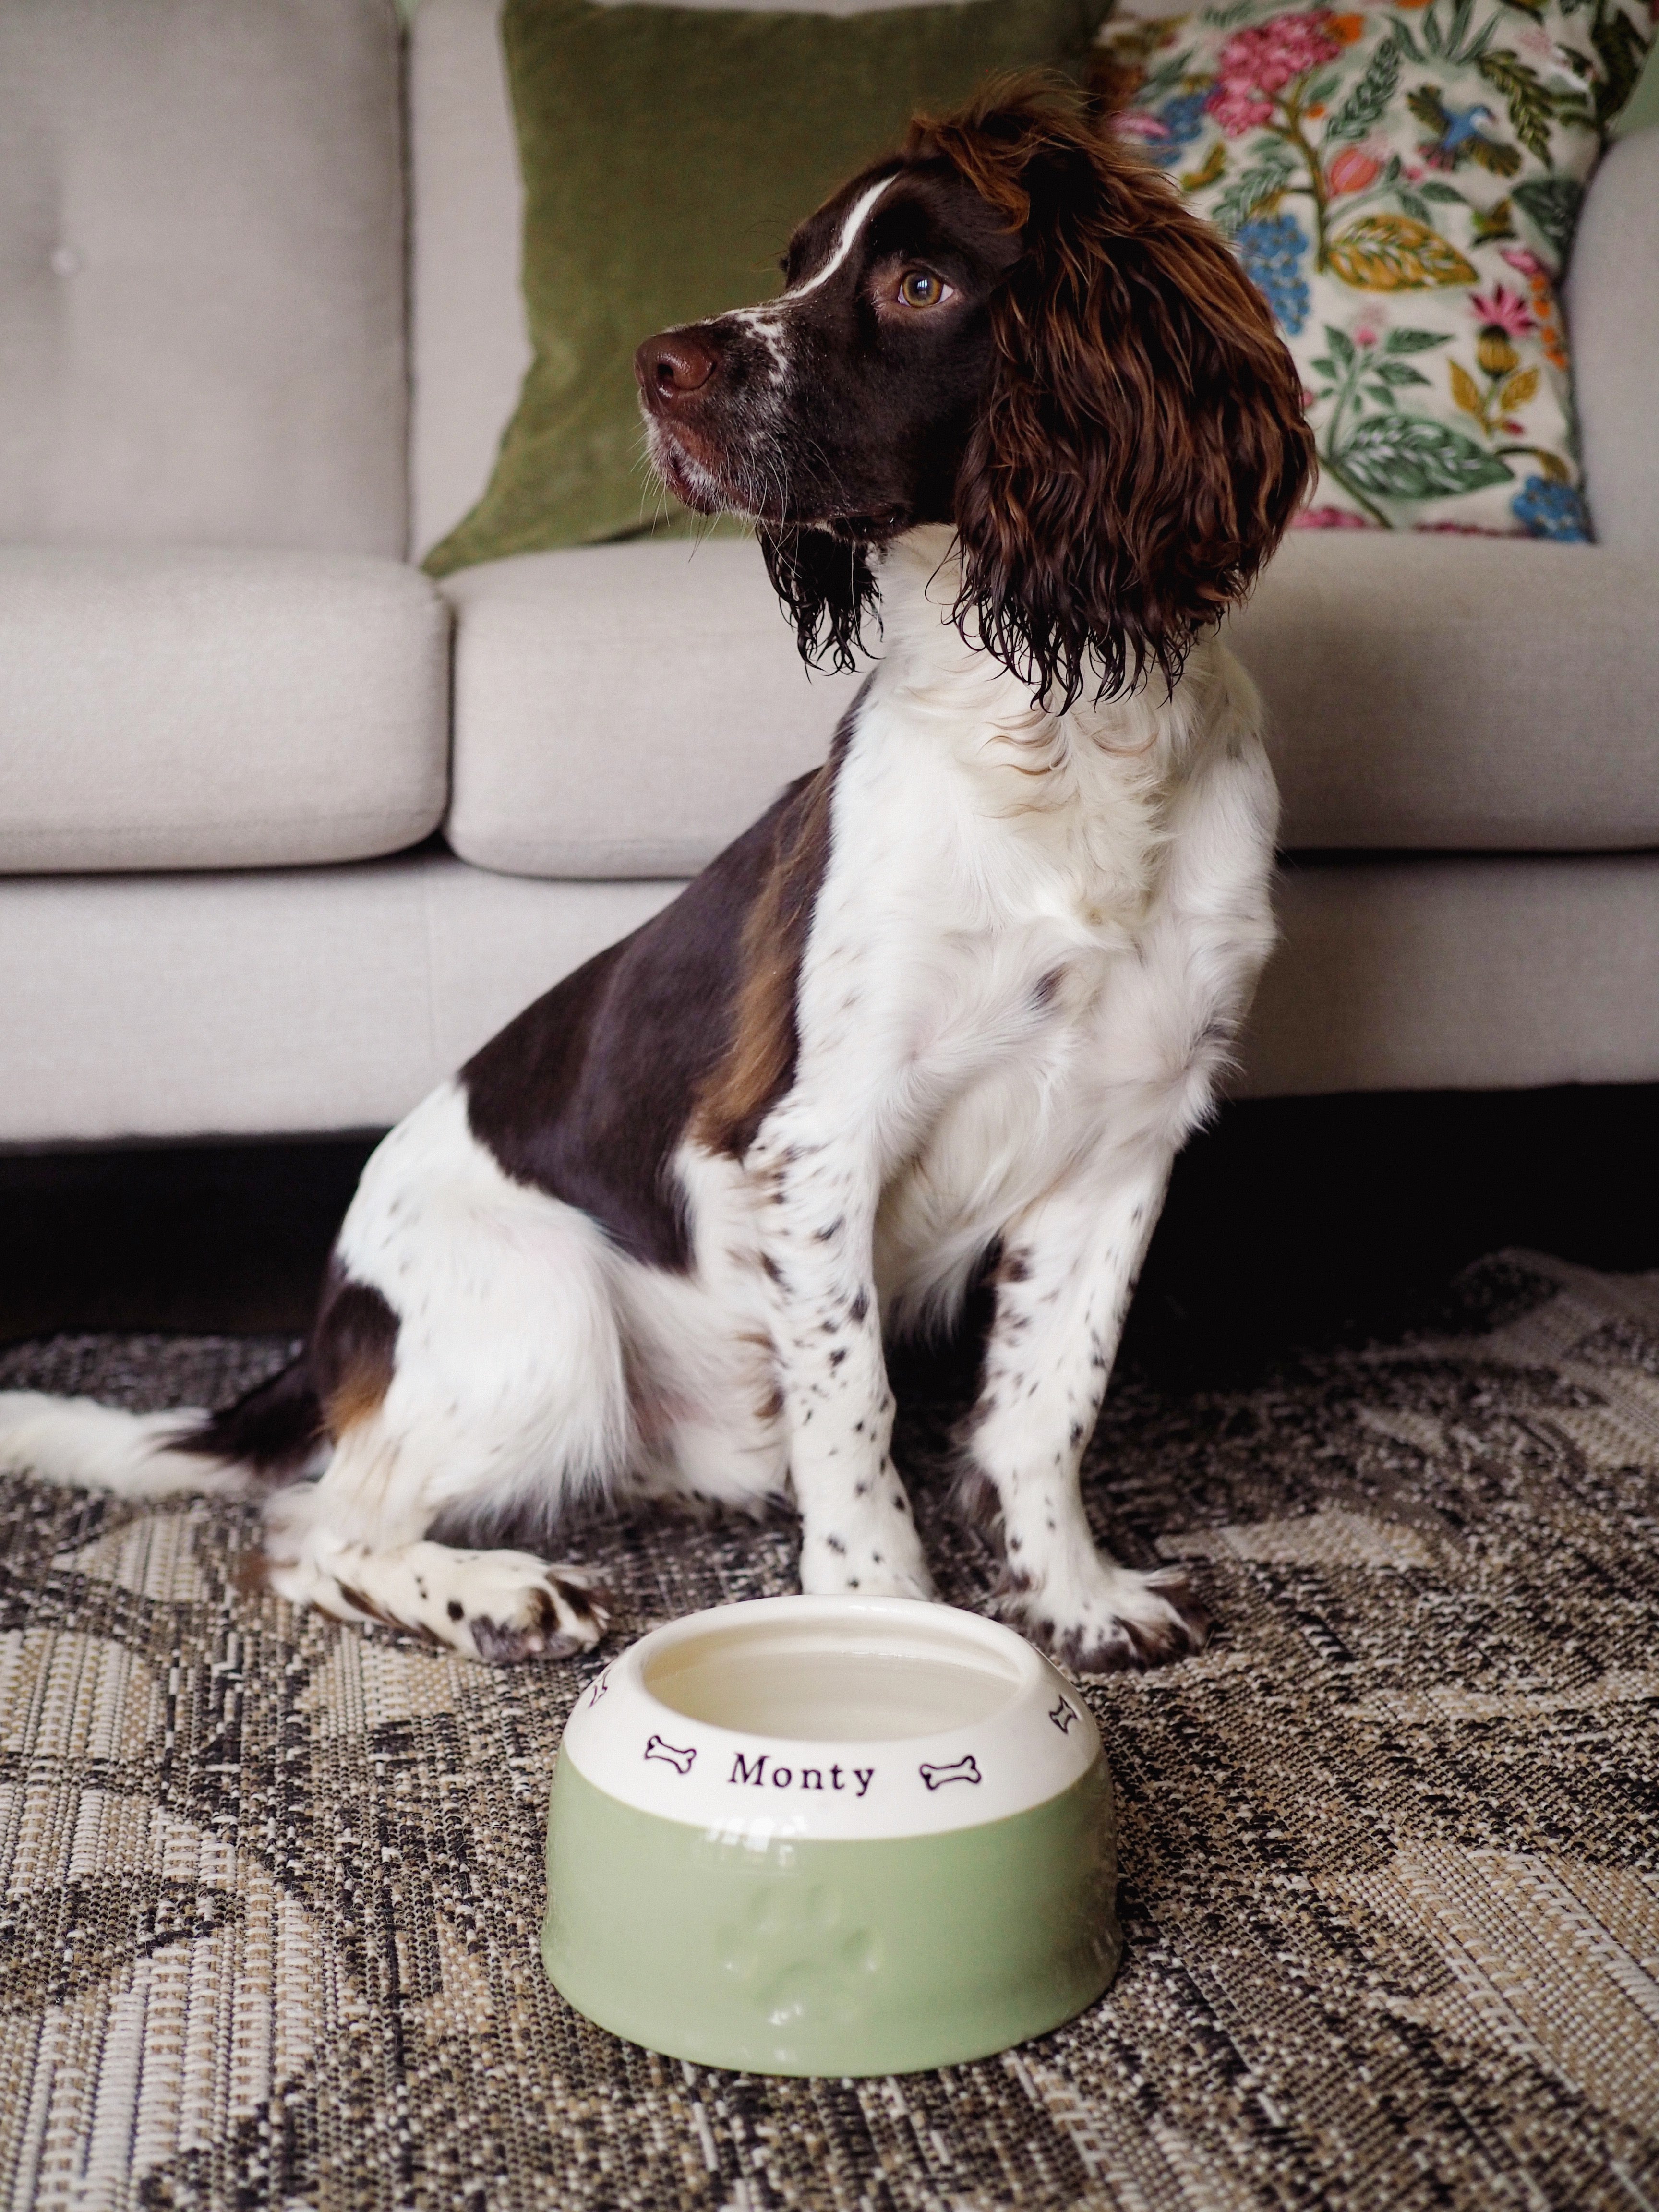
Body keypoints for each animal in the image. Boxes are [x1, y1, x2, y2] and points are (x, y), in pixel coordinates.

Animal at [3, 86, 1327, 1672]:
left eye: (920, 283)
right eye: (803, 260)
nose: (659, 365)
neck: (1060, 745)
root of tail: (331, 1328)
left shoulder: (1128, 1140)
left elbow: (1046, 1401)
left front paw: (1070, 1593)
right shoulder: (818, 1137)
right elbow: (860, 1408)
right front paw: (877, 1621)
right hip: (549, 1312)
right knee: (312, 1532)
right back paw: (497, 1593)